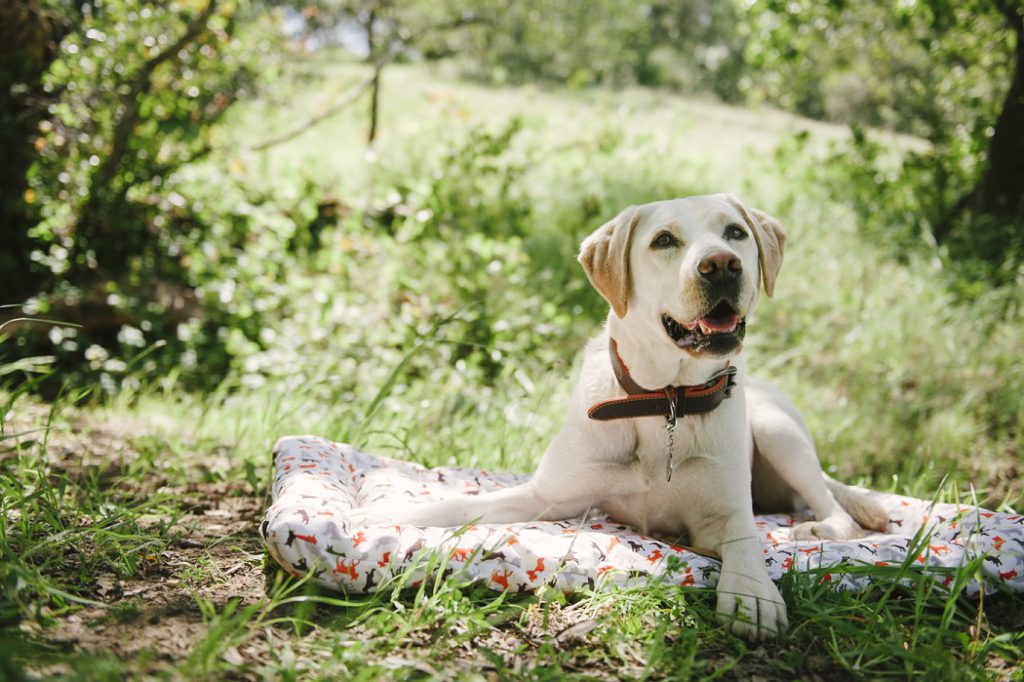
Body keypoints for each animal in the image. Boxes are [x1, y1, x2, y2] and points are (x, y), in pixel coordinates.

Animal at [356, 195, 884, 638]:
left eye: (735, 232)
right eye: (664, 240)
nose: (722, 265)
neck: (664, 400)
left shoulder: (725, 515)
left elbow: (745, 541)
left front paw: (751, 592)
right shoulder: (546, 496)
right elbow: (456, 507)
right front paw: (388, 512)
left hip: (775, 429)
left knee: (835, 510)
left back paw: (819, 526)